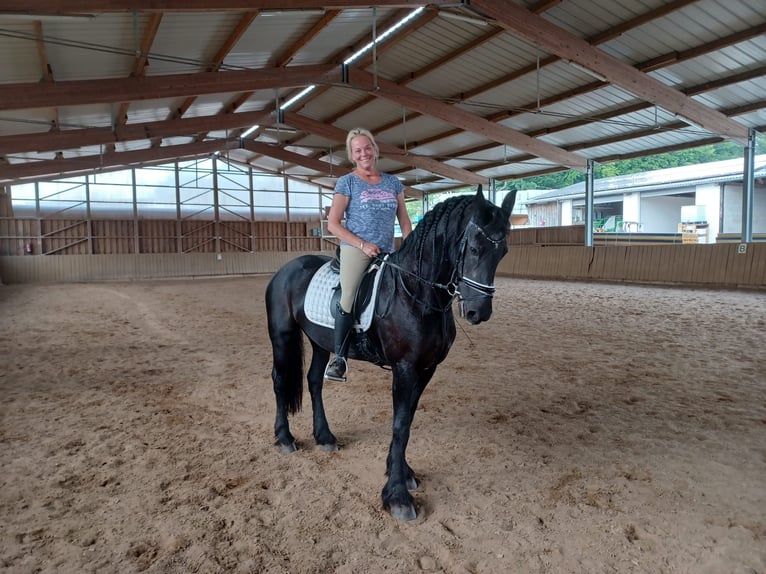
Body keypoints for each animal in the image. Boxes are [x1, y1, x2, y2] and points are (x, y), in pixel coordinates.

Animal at [264, 187, 516, 524]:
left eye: (503, 252)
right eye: (474, 248)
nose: (478, 312)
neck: (416, 293)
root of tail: (286, 269)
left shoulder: (426, 368)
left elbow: (407, 420)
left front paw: (403, 473)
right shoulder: (405, 367)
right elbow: (399, 424)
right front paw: (397, 496)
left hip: (319, 342)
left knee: (314, 381)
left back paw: (325, 437)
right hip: (282, 335)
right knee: (280, 381)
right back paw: (285, 439)